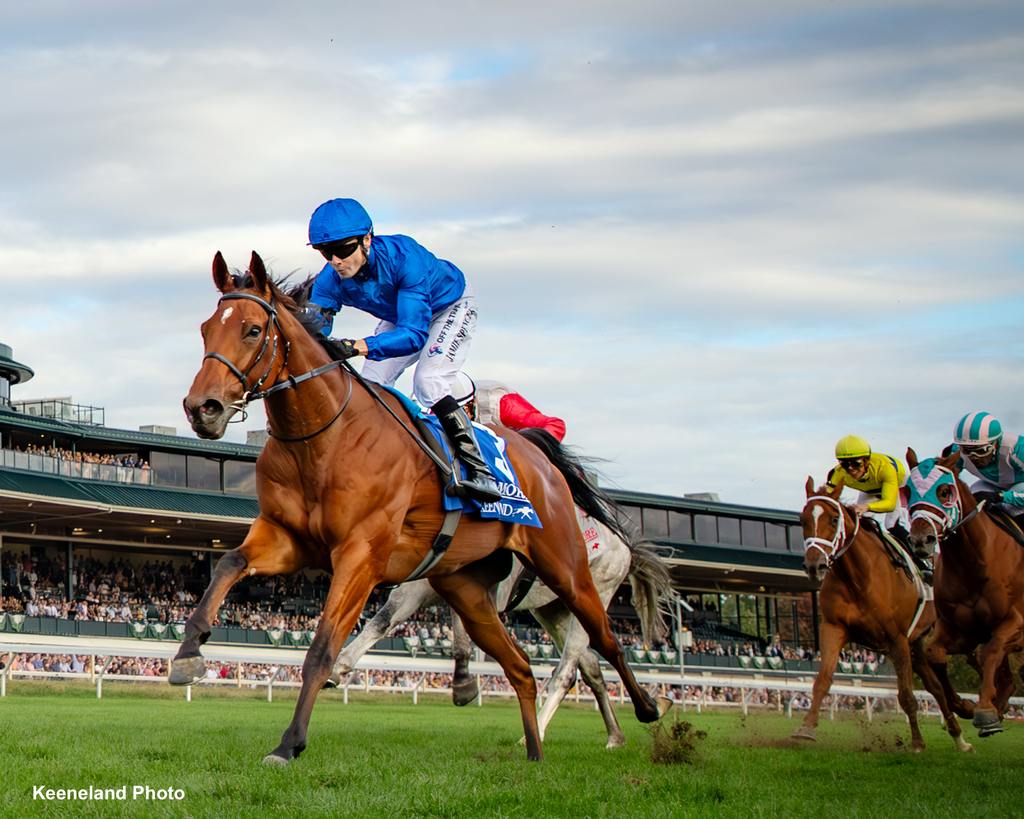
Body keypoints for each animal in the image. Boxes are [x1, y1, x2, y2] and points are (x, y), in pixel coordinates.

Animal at [169, 252, 663, 765]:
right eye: (206, 329)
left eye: (251, 330)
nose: (202, 407)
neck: (324, 438)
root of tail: (541, 462)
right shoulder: (288, 538)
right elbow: (228, 564)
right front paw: (189, 654)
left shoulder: (362, 555)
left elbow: (323, 648)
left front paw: (290, 743)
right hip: (471, 588)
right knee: (526, 665)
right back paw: (536, 750)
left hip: (569, 571)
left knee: (599, 645)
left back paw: (647, 709)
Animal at [786, 477, 970, 753]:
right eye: (802, 520)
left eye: (833, 519)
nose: (814, 565)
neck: (858, 577)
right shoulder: (834, 628)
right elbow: (823, 680)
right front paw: (805, 729)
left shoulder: (897, 638)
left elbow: (906, 694)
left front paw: (917, 743)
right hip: (916, 645)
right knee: (936, 687)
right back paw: (960, 736)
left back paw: (967, 720)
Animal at [905, 448, 1024, 737]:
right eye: (907, 491)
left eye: (944, 491)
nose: (921, 540)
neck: (974, 561)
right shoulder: (963, 630)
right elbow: (934, 654)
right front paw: (968, 706)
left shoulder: (1016, 623)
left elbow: (988, 652)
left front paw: (985, 709)